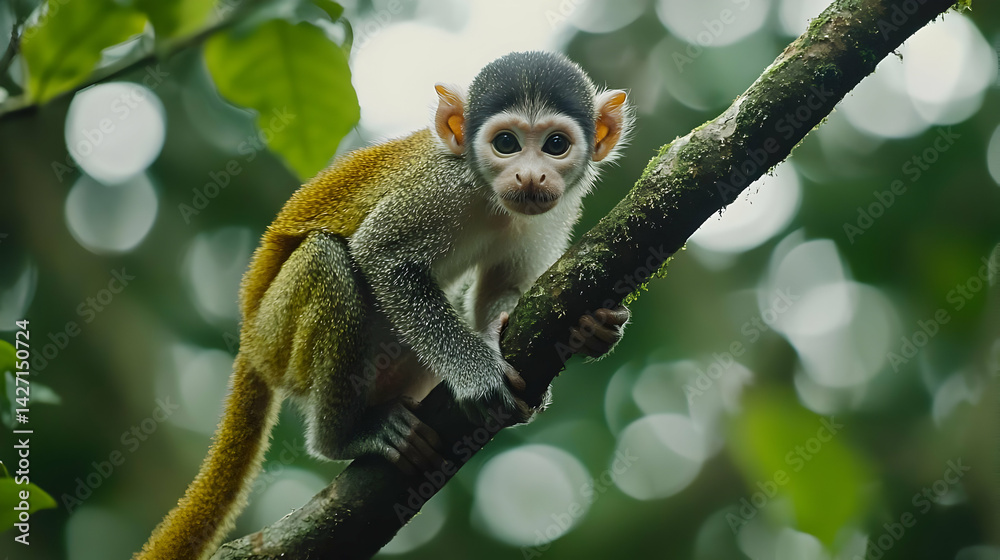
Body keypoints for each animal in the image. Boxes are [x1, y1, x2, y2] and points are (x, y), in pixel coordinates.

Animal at [135, 51, 633, 560]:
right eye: (506, 143)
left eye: (555, 145)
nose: (530, 175)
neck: (487, 195)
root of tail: (251, 338)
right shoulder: (441, 187)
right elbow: (380, 257)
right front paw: (476, 374)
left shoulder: (554, 208)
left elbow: (504, 290)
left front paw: (589, 328)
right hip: (279, 336)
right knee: (327, 260)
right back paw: (343, 437)